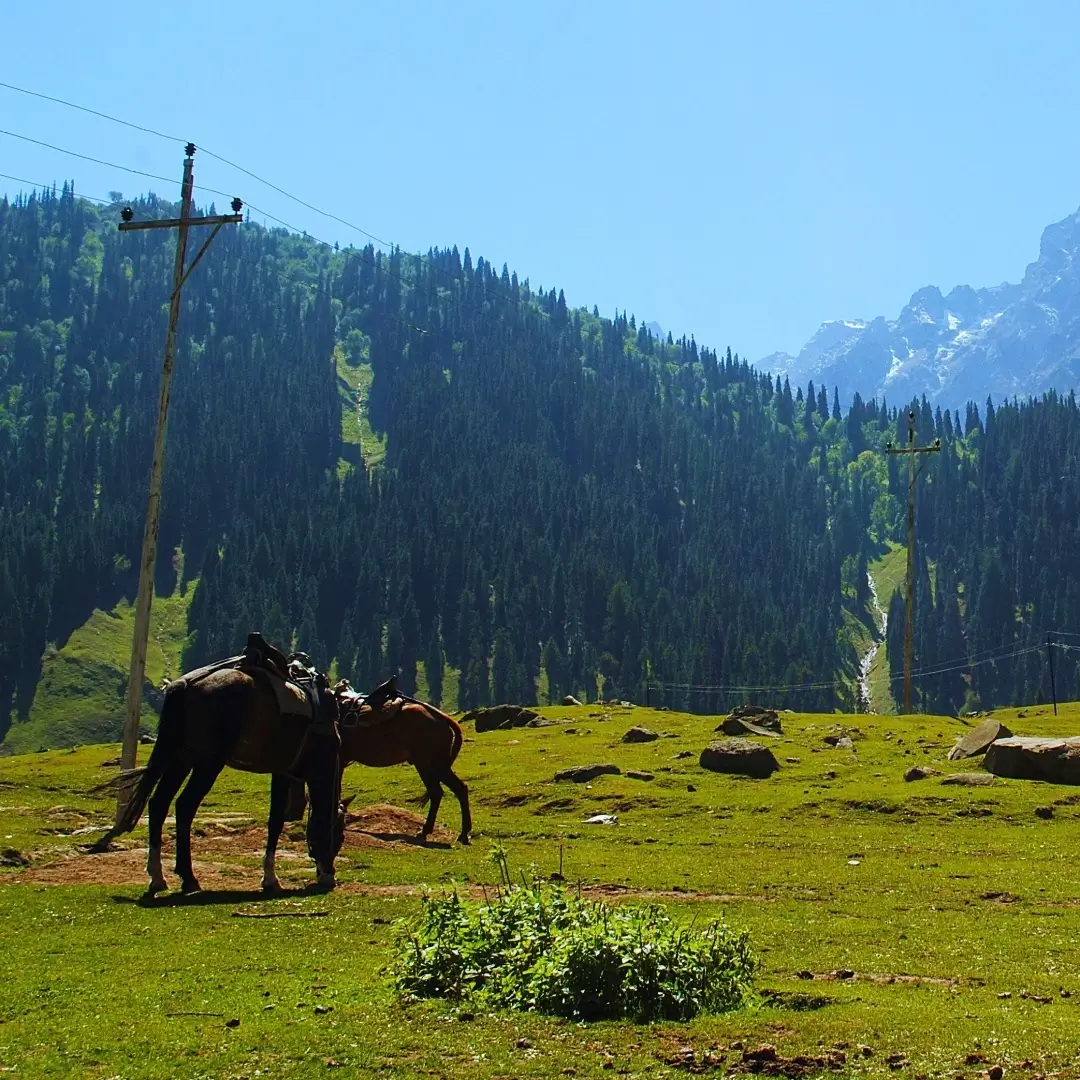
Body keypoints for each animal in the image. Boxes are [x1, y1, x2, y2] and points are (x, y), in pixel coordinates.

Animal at [96, 665, 343, 894]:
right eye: (340, 835)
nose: (329, 870)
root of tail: (186, 685)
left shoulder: (282, 772)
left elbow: (275, 821)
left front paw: (270, 877)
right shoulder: (320, 773)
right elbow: (312, 818)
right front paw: (317, 875)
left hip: (182, 758)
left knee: (159, 804)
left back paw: (158, 877)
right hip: (208, 763)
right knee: (184, 805)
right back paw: (188, 878)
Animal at [332, 673, 473, 842]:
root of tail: (442, 718)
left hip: (426, 763)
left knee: (437, 792)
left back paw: (426, 830)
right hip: (438, 765)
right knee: (459, 789)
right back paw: (463, 833)